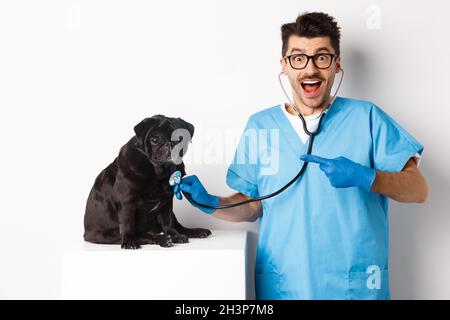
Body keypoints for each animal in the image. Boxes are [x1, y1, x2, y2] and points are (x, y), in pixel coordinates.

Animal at [84, 115, 213, 250]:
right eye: (154, 139)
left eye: (180, 138)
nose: (170, 143)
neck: (157, 173)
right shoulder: (127, 202)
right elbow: (128, 224)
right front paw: (129, 241)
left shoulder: (166, 202)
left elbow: (168, 222)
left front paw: (175, 235)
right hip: (107, 234)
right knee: (140, 235)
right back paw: (161, 239)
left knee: (175, 225)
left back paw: (193, 232)